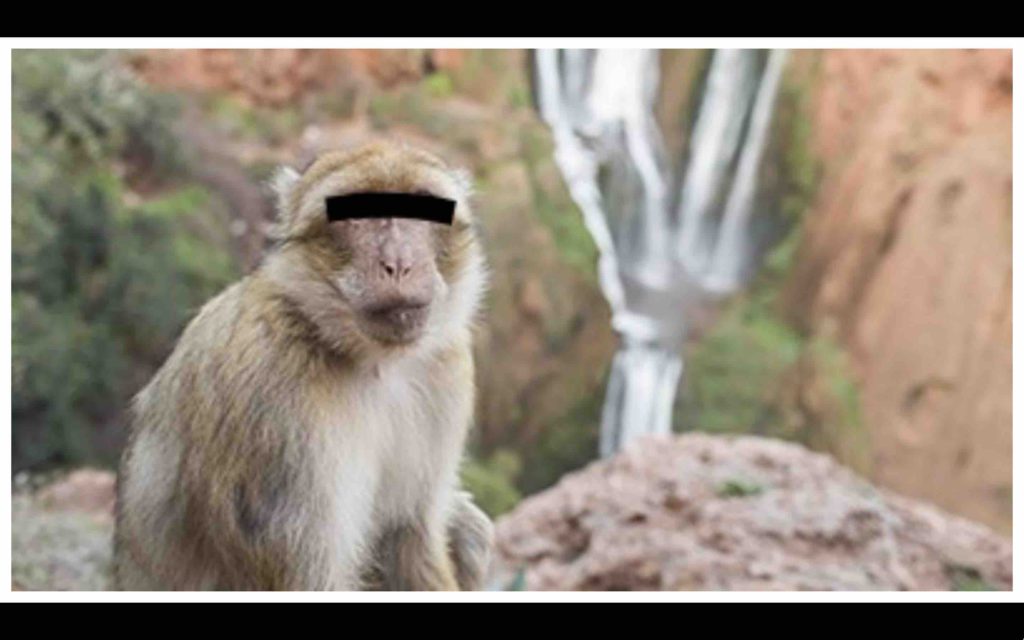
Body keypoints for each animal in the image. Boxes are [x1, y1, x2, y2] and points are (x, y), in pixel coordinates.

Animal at [114, 141, 493, 591]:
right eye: (356, 213)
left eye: (424, 206)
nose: (398, 263)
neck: (373, 360)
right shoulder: (270, 402)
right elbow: (309, 578)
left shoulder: (446, 369)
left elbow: (410, 537)